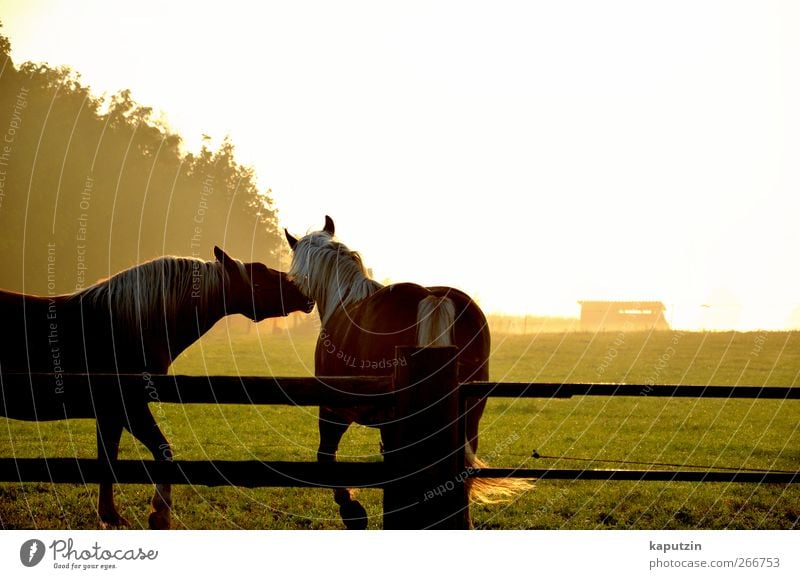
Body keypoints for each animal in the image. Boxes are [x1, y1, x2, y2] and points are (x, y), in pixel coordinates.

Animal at [0, 246, 312, 532]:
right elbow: (162, 452)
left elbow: (108, 459)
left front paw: (110, 516)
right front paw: (159, 514)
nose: (306, 293)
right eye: (261, 277)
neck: (129, 325)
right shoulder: (129, 408)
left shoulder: (110, 414)